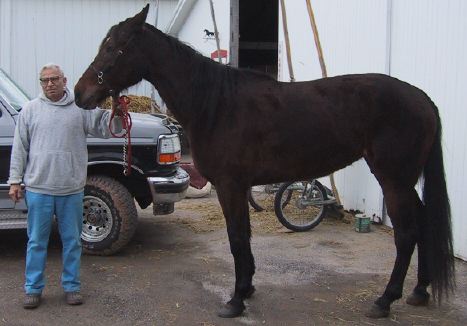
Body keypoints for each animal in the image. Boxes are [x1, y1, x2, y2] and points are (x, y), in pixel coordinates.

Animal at [75, 5, 456, 320]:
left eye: (114, 47)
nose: (80, 93)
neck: (215, 104)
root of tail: (423, 99)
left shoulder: (230, 186)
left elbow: (236, 238)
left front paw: (235, 301)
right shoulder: (238, 186)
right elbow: (243, 236)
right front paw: (247, 289)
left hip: (393, 178)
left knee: (406, 233)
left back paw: (384, 300)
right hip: (405, 179)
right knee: (423, 222)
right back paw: (420, 292)